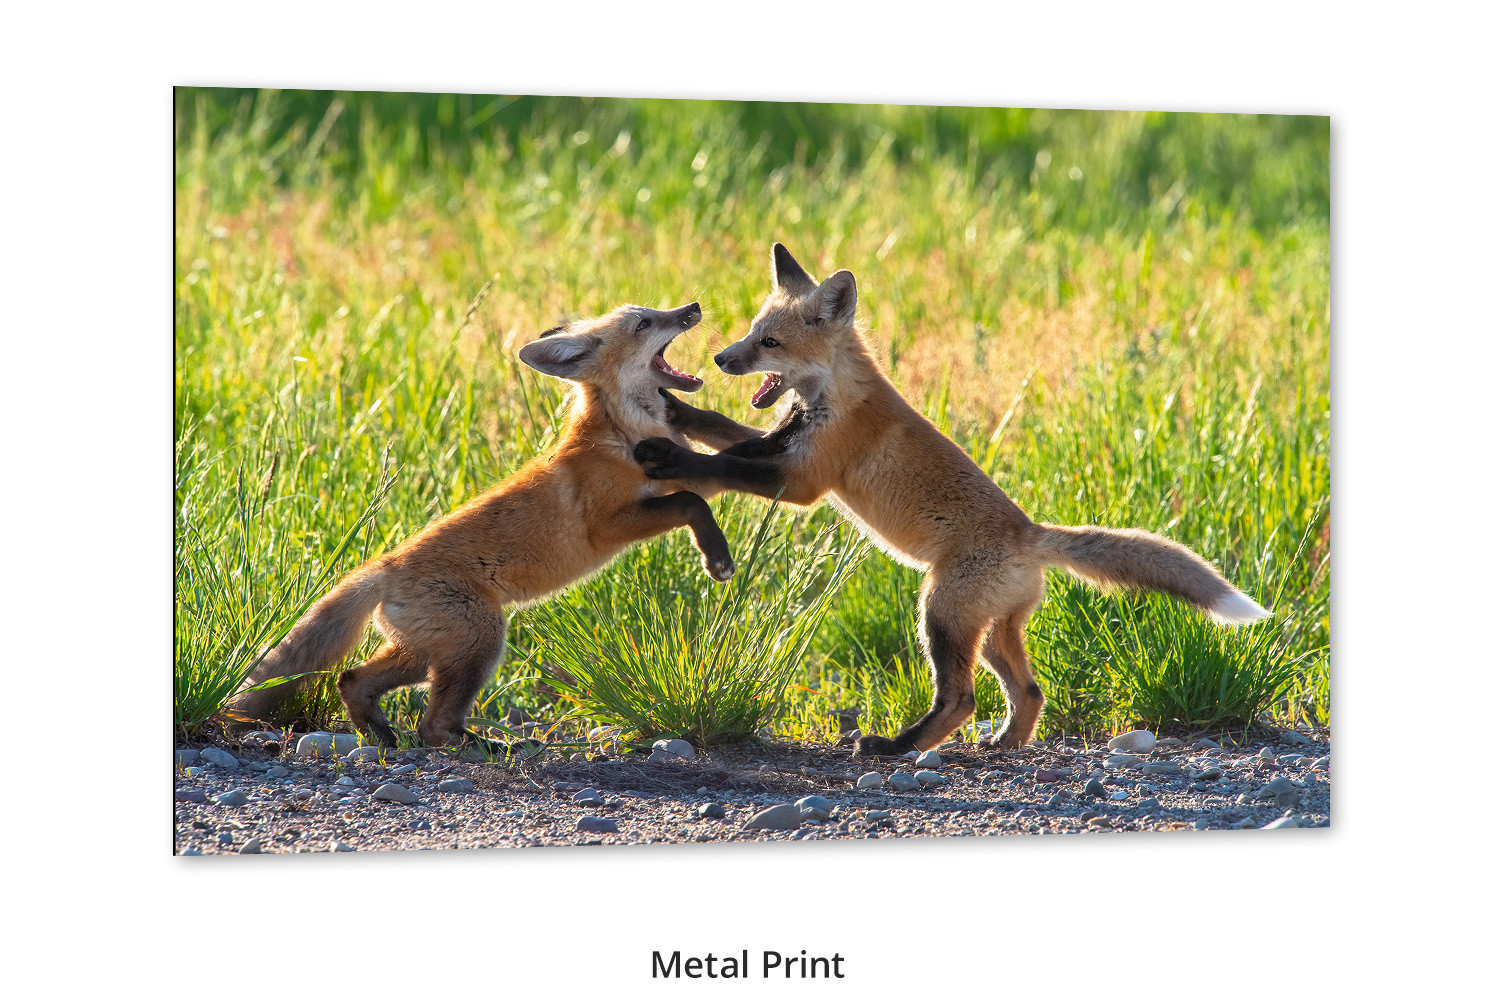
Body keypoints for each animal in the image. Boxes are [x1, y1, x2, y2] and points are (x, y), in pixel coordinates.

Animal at [226, 301, 734, 748]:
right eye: (644, 323)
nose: (693, 307)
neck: (622, 434)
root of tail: (385, 566)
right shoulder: (608, 524)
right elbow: (690, 503)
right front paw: (718, 557)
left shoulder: (685, 470)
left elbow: (709, 479)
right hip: (480, 641)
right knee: (431, 726)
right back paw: (480, 746)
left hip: (424, 654)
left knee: (353, 679)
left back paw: (383, 735)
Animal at [633, 244, 1271, 757]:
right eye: (749, 330)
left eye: (768, 341)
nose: (721, 358)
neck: (831, 398)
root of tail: (1030, 535)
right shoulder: (782, 442)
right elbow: (721, 431)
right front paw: (677, 411)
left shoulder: (805, 478)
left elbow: (723, 463)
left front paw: (670, 457)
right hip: (990, 631)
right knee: (1029, 690)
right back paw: (1005, 745)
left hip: (939, 613)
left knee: (962, 700)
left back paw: (896, 747)